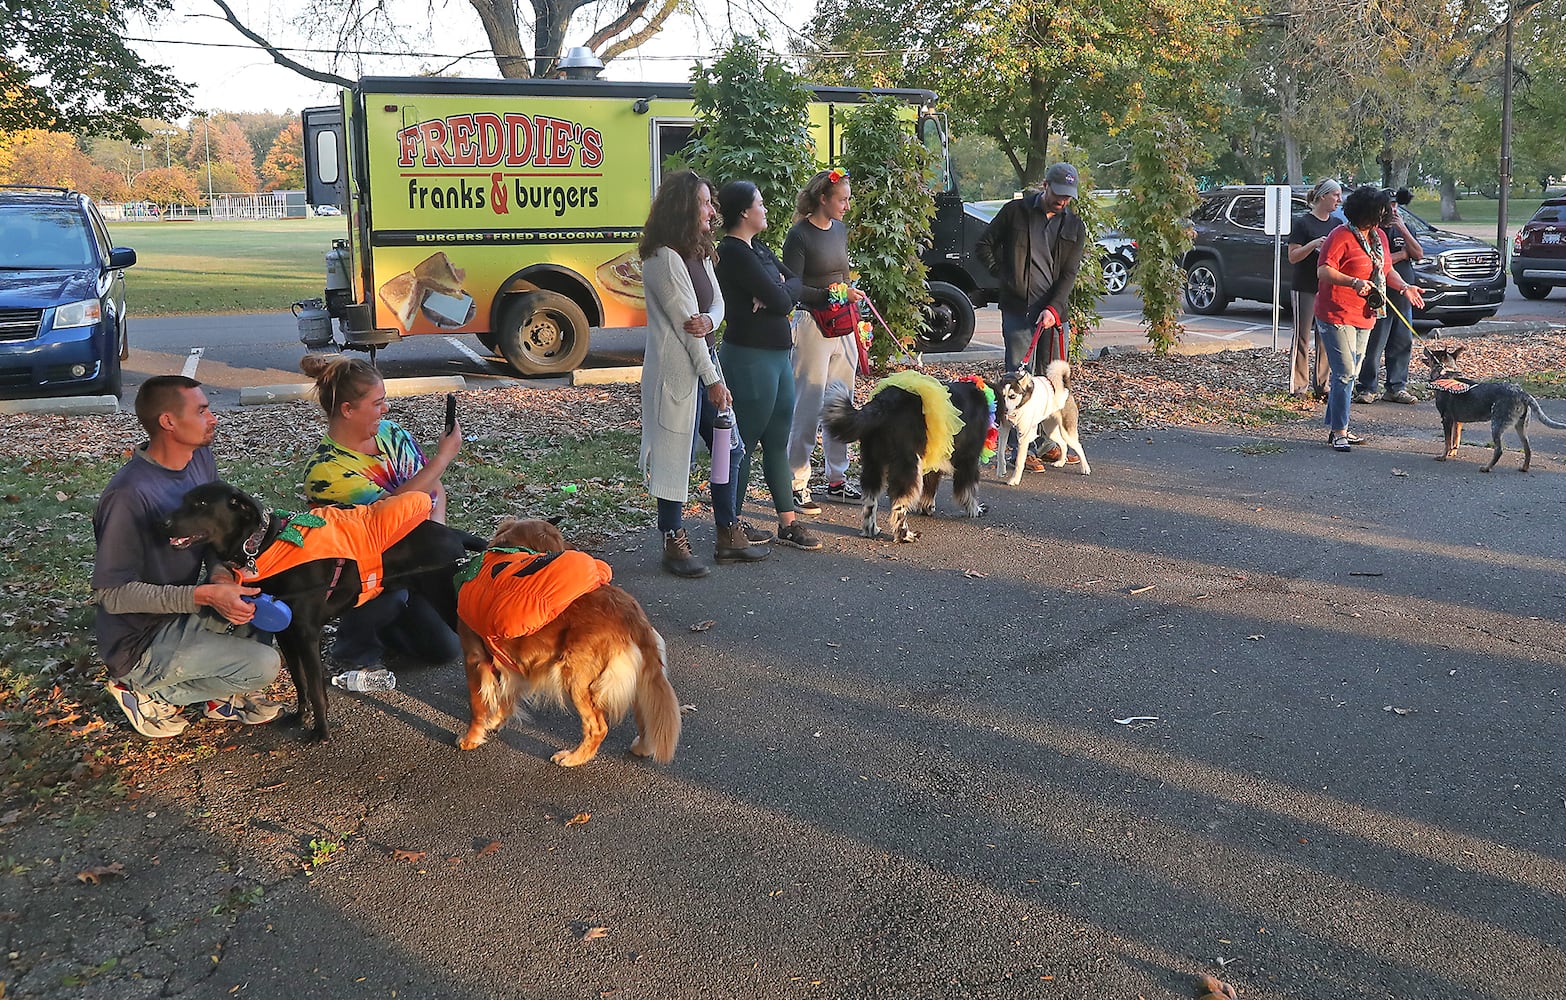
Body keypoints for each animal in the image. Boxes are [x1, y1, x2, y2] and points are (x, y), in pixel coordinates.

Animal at [162, 482, 482, 738]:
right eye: (183, 500)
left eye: (201, 504)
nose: (162, 521)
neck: (265, 546)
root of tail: (453, 533)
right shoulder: (287, 635)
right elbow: (300, 682)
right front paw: (299, 716)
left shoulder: (307, 635)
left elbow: (316, 689)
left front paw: (321, 731)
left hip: (449, 602)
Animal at [451, 516, 676, 766]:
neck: (507, 550)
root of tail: (630, 614)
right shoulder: (510, 663)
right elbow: (505, 698)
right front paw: (496, 721)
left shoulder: (475, 658)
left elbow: (477, 705)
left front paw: (470, 738)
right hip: (637, 678)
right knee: (645, 714)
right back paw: (642, 747)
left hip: (576, 678)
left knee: (598, 727)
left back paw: (573, 758)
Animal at [820, 372, 989, 544]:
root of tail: (883, 402)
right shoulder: (969, 459)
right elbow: (969, 490)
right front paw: (975, 510)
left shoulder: (934, 458)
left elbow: (930, 487)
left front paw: (927, 508)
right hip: (908, 465)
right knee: (898, 506)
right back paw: (905, 535)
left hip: (873, 464)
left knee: (870, 502)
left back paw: (871, 530)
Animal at [1421, 344, 1566, 472]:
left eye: (1433, 352)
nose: (1425, 348)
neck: (1444, 373)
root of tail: (1522, 393)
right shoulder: (1457, 421)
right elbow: (1455, 440)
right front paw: (1452, 453)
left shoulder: (1446, 419)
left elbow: (1447, 442)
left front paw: (1443, 456)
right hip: (1521, 426)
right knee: (1528, 449)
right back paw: (1524, 468)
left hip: (1496, 424)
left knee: (1499, 450)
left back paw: (1486, 468)